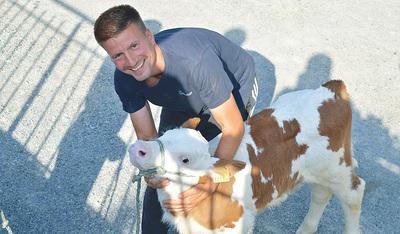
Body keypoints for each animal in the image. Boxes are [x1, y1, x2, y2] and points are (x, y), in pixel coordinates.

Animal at [129, 80, 366, 232]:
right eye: (163, 135)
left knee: (354, 193)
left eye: (185, 159)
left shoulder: (235, 224)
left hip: (337, 167)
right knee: (320, 193)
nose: (138, 147)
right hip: (317, 169)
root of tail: (330, 89)